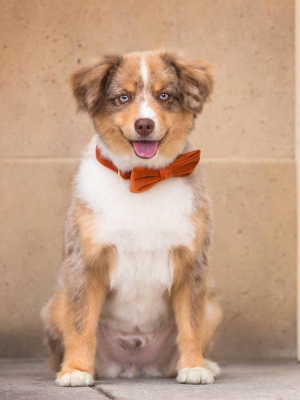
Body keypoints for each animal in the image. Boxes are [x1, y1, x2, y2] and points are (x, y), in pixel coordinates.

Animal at [41, 48, 220, 386]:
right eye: (122, 98)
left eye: (165, 96)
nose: (144, 125)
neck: (142, 178)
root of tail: (134, 363)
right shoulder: (86, 261)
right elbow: (81, 322)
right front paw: (76, 371)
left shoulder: (192, 263)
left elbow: (191, 323)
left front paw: (194, 367)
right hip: (54, 305)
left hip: (214, 307)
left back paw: (205, 363)